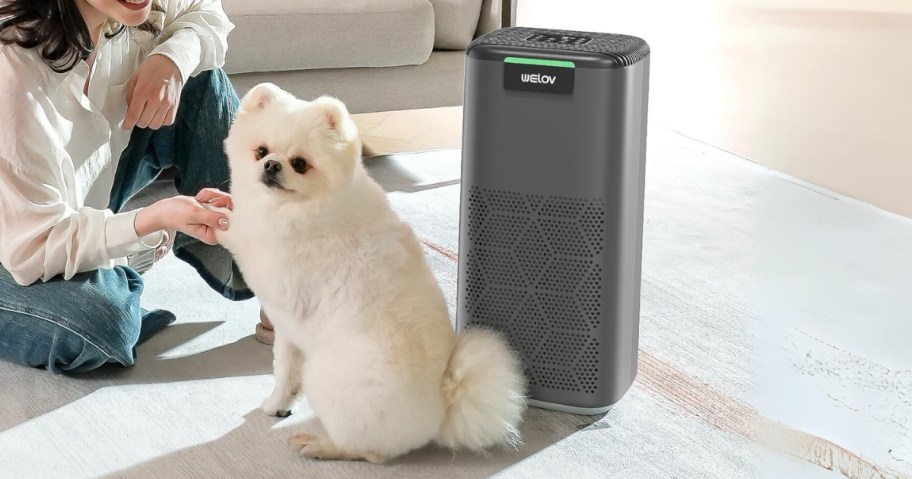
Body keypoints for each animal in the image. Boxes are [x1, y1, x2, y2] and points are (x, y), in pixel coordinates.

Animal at [216, 84, 528, 464]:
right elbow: (285, 371)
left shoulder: (281, 281)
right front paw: (278, 404)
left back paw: (321, 444)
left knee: (368, 450)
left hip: (326, 374)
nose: (272, 165)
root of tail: (443, 403)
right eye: (261, 151)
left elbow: (244, 241)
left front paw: (219, 220)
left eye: (300, 164)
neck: (300, 206)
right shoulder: (288, 331)